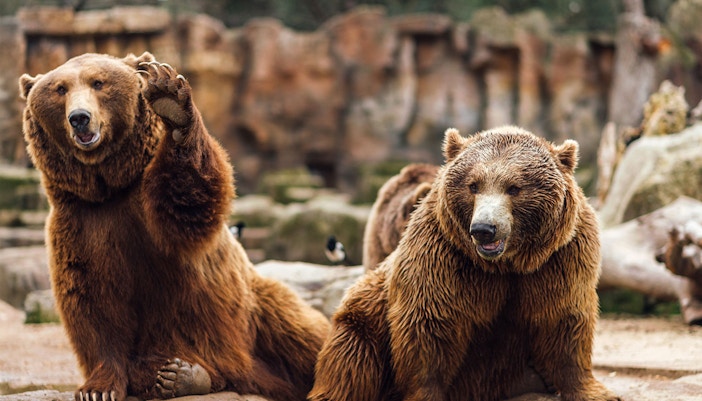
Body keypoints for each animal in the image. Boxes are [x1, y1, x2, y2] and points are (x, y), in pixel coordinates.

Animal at [19, 52, 329, 401]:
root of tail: (249, 376)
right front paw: (97, 389)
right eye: (60, 89)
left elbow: (189, 200)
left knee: (303, 334)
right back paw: (180, 375)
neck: (111, 187)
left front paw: (169, 99)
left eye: (98, 82)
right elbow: (93, 302)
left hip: (258, 308)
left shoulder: (152, 210)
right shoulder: (81, 224)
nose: (80, 118)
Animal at [309, 126, 620, 401]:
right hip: (367, 313)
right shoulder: (444, 256)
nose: (484, 229)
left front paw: (597, 392)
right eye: (473, 185)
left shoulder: (559, 258)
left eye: (514, 188)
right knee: (352, 355)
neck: (506, 264)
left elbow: (563, 320)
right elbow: (429, 327)